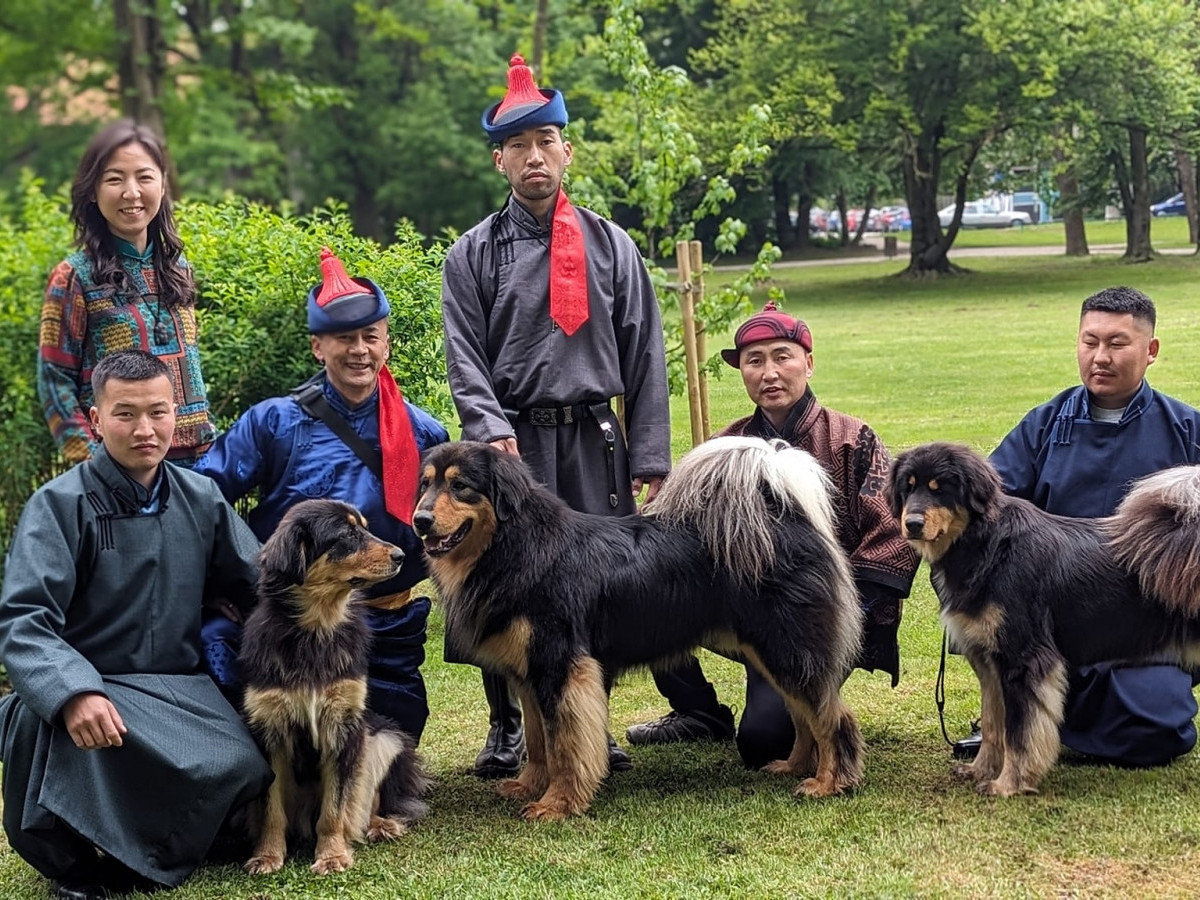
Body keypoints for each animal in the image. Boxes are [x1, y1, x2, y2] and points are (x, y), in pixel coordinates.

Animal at [237, 501, 427, 873]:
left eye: (365, 527)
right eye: (347, 534)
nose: (401, 554)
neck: (316, 629)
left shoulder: (343, 727)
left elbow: (335, 806)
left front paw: (332, 855)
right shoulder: (270, 730)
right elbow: (271, 808)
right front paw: (267, 855)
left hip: (384, 740)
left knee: (366, 802)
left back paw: (381, 825)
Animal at [412, 436, 864, 825]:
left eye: (461, 486)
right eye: (426, 483)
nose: (419, 520)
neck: (517, 546)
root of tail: (786, 518)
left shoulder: (562, 667)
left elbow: (564, 746)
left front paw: (558, 804)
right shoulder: (530, 676)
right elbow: (539, 743)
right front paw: (528, 786)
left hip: (788, 648)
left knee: (832, 718)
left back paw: (829, 783)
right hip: (774, 653)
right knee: (805, 715)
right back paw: (793, 766)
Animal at [888, 444, 1200, 796]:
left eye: (940, 488)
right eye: (907, 488)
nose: (912, 523)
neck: (989, 545)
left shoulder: (1023, 660)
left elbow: (1019, 733)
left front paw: (1009, 784)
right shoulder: (989, 663)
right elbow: (993, 724)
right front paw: (980, 770)